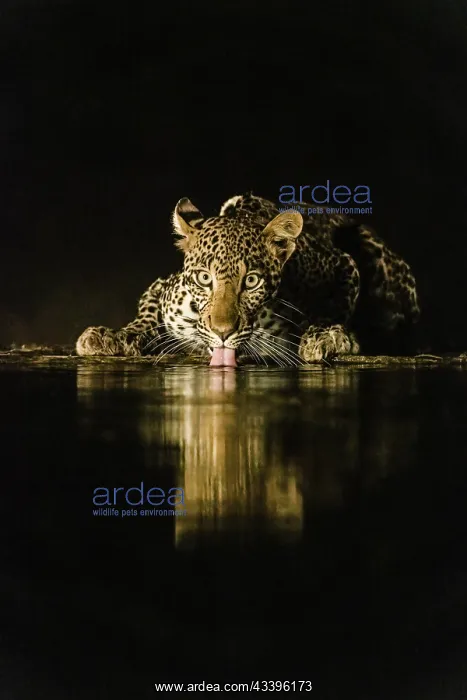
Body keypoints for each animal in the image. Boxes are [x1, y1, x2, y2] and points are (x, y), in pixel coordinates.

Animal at [75, 193, 420, 366]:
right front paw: (115, 336)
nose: (223, 333)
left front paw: (326, 337)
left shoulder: (340, 264)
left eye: (252, 281)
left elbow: (334, 306)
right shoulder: (164, 287)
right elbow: (146, 313)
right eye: (203, 278)